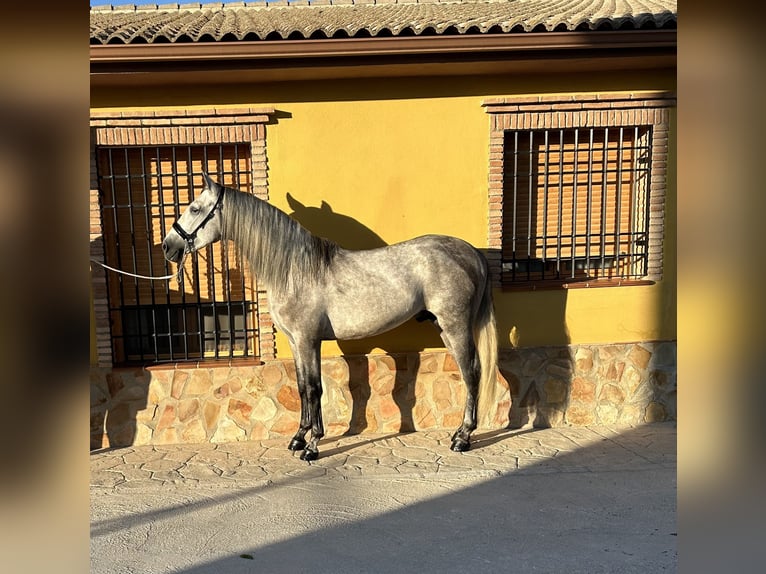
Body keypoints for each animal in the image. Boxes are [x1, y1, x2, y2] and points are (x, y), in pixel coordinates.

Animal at [163, 173, 500, 462]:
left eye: (195, 208)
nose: (168, 246)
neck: (295, 269)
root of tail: (472, 253)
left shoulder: (307, 339)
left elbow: (314, 388)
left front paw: (312, 446)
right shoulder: (297, 342)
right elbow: (302, 387)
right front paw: (298, 438)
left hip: (455, 327)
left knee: (472, 373)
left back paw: (462, 438)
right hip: (444, 326)